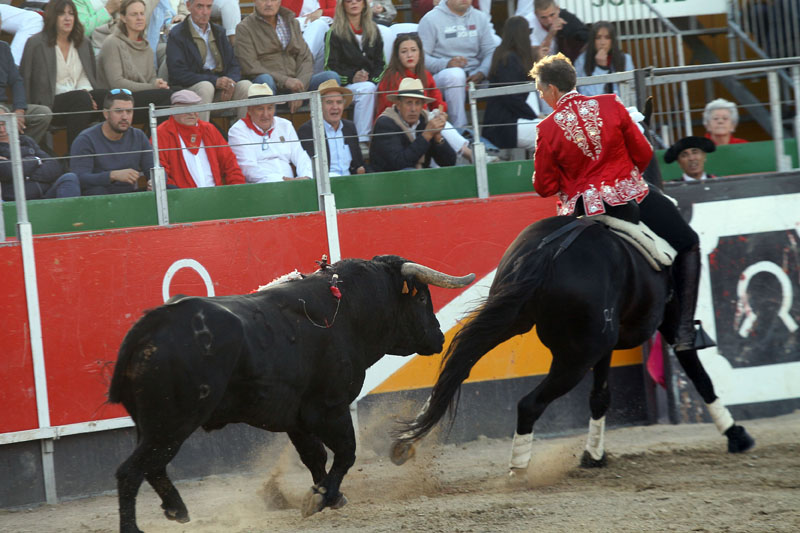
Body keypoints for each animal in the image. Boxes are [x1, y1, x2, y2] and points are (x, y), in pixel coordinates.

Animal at [108, 255, 475, 533]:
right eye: (422, 298)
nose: (439, 337)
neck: (347, 311)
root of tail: (150, 326)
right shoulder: (331, 408)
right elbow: (346, 452)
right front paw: (322, 496)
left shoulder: (296, 418)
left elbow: (315, 456)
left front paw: (327, 495)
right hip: (172, 423)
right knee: (131, 472)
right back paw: (138, 527)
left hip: (154, 425)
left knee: (153, 467)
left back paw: (177, 510)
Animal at [389, 199, 755, 475]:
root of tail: (548, 253)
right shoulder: (668, 320)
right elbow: (694, 367)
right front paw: (735, 434)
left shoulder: (605, 347)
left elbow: (601, 396)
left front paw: (594, 455)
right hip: (577, 356)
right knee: (528, 403)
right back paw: (518, 469)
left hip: (514, 321)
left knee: (456, 367)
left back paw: (405, 443)